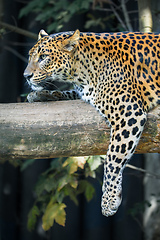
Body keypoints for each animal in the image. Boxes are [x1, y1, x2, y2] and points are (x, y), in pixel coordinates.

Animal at [23, 28, 160, 218]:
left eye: (43, 57)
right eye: (30, 56)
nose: (26, 76)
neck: (81, 71)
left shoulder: (128, 113)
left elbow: (113, 158)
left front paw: (109, 200)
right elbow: (68, 93)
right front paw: (40, 95)